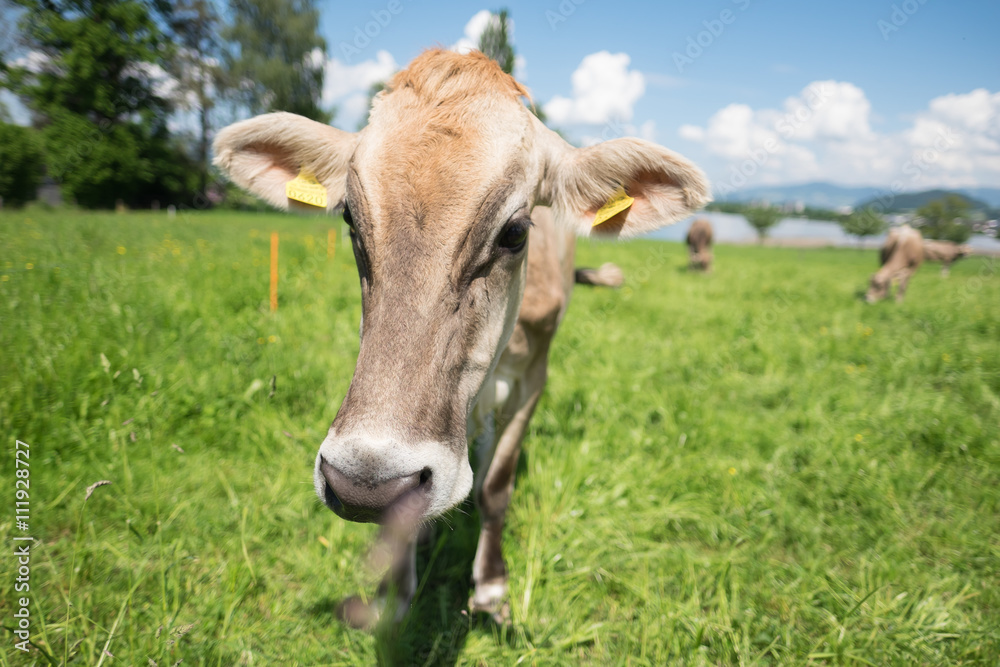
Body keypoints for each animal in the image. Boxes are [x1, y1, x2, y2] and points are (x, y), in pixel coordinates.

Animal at [213, 49, 710, 627]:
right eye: (350, 219)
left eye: (515, 231)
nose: (366, 484)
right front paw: (395, 591)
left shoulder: (534, 380)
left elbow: (496, 486)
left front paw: (491, 587)